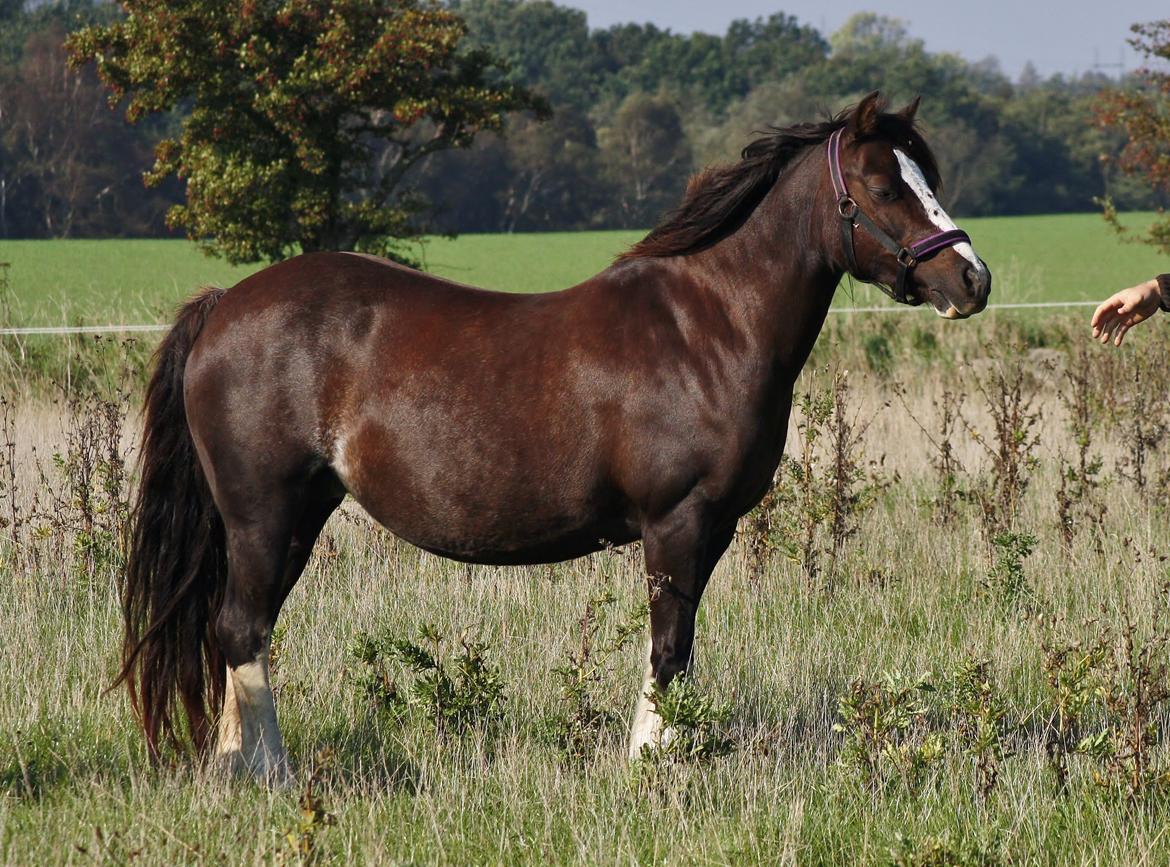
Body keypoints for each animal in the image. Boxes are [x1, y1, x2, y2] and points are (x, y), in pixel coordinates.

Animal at [118, 91, 992, 781]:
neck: (705, 329)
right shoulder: (676, 523)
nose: (972, 279)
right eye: (883, 185)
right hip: (262, 513)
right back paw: (269, 771)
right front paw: (648, 765)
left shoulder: (712, 529)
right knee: (241, 628)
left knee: (243, 629)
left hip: (298, 514)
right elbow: (667, 648)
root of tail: (225, 305)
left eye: (930, 180)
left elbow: (680, 651)